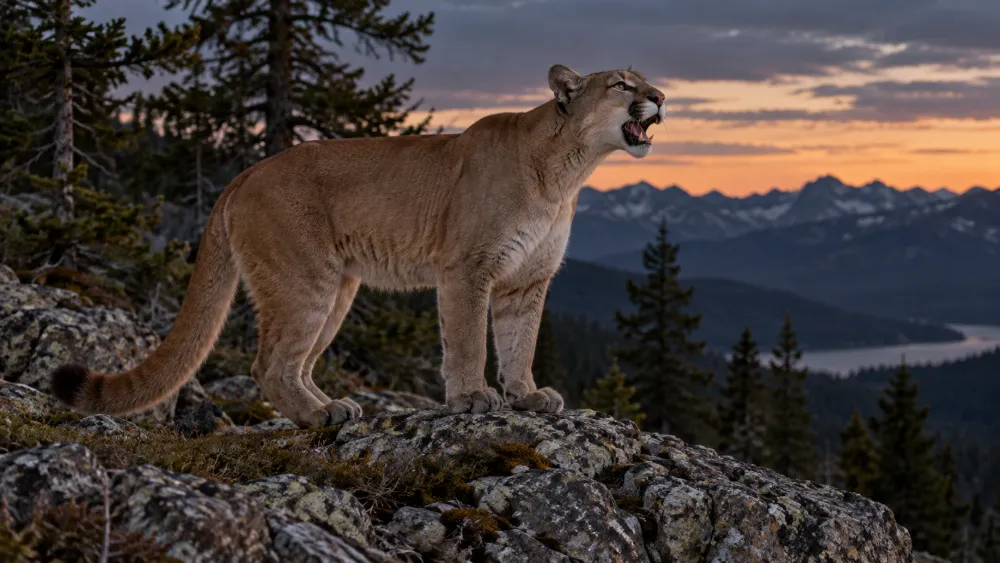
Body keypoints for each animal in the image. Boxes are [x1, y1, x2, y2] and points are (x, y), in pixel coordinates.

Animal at [50, 64, 667, 428]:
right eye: (621, 84)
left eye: (645, 80)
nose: (662, 95)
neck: (564, 173)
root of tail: (245, 174)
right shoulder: (467, 269)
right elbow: (468, 341)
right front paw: (471, 398)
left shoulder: (527, 280)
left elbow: (519, 342)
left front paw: (526, 395)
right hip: (306, 280)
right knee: (268, 363)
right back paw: (319, 417)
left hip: (339, 288)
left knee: (295, 363)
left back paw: (332, 407)